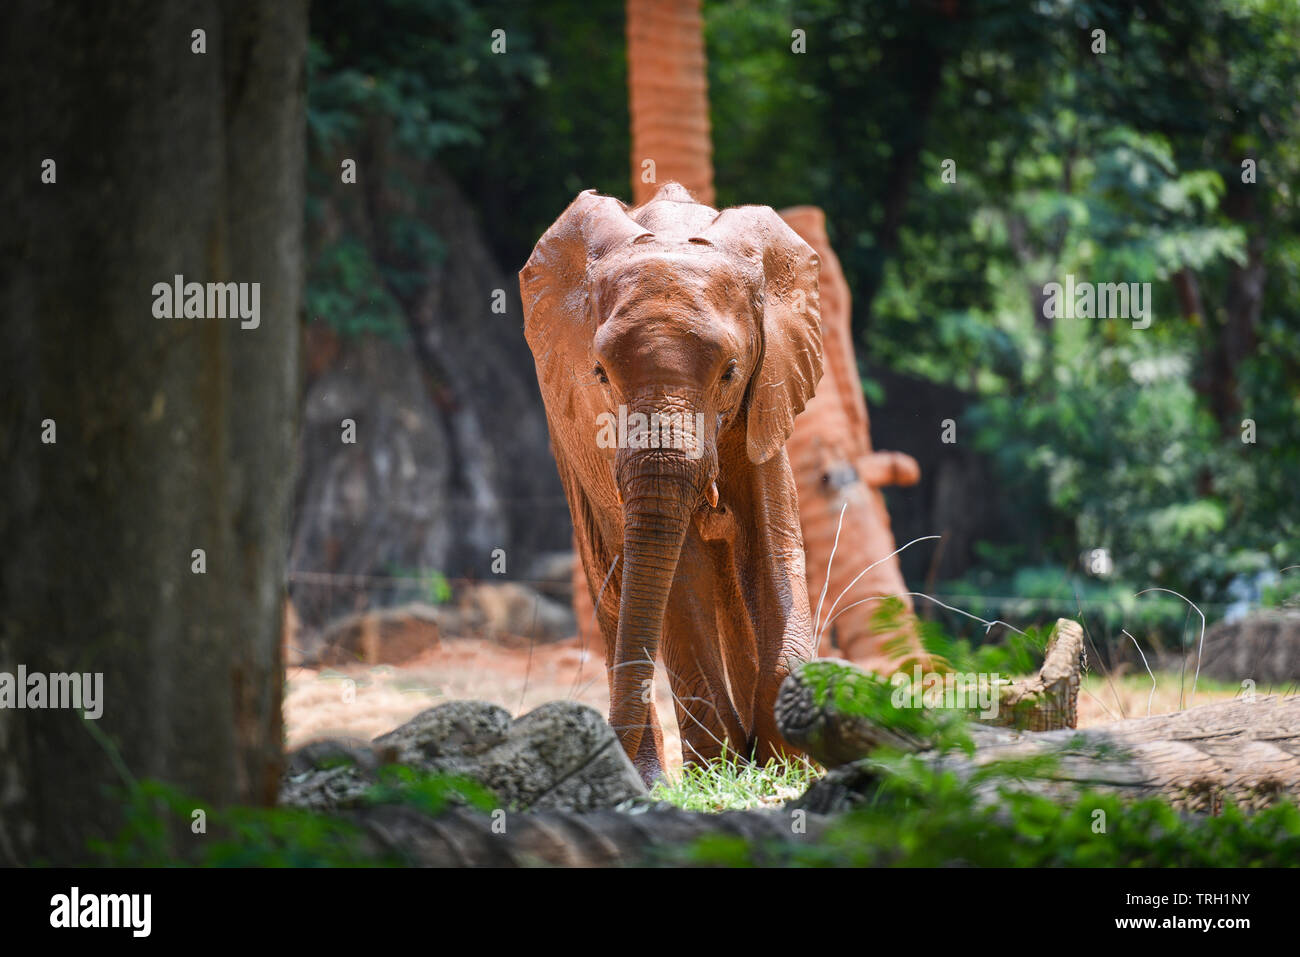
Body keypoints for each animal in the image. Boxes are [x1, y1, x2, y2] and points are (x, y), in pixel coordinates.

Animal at [520, 182, 823, 783]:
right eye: (600, 374)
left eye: (730, 372)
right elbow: (676, 565)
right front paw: (724, 766)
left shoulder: (770, 388)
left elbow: (773, 541)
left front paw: (788, 763)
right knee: (616, 581)